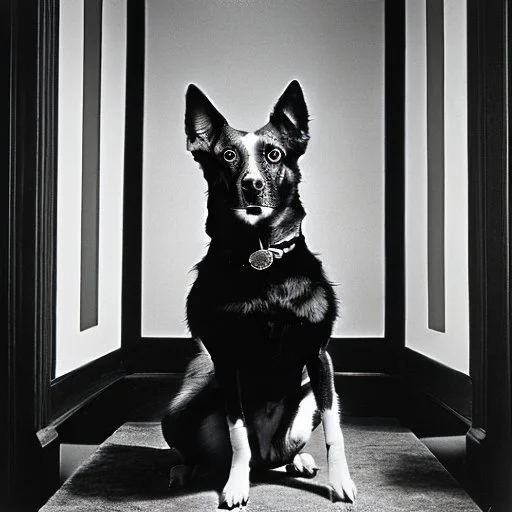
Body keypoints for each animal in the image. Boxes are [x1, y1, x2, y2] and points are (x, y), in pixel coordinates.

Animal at [163, 80, 356, 508]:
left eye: (274, 154)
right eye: (228, 155)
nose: (251, 185)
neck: (260, 255)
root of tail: (269, 454)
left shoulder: (320, 356)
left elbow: (334, 430)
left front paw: (341, 482)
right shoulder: (225, 359)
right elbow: (237, 435)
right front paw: (236, 485)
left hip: (309, 396)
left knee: (289, 449)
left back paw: (298, 460)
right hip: (179, 409)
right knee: (197, 451)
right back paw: (183, 470)